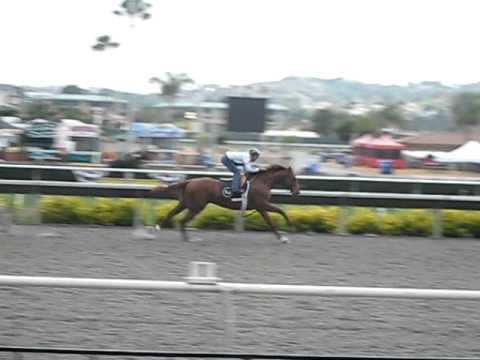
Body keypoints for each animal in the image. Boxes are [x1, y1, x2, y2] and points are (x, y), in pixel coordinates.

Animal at [152, 165, 300, 242]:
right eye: (293, 178)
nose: (297, 191)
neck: (262, 183)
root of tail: (191, 181)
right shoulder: (262, 206)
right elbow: (275, 217)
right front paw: (284, 235)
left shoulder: (261, 207)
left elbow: (278, 213)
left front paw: (286, 232)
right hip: (196, 207)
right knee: (182, 220)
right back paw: (187, 238)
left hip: (186, 203)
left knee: (172, 214)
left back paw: (158, 228)